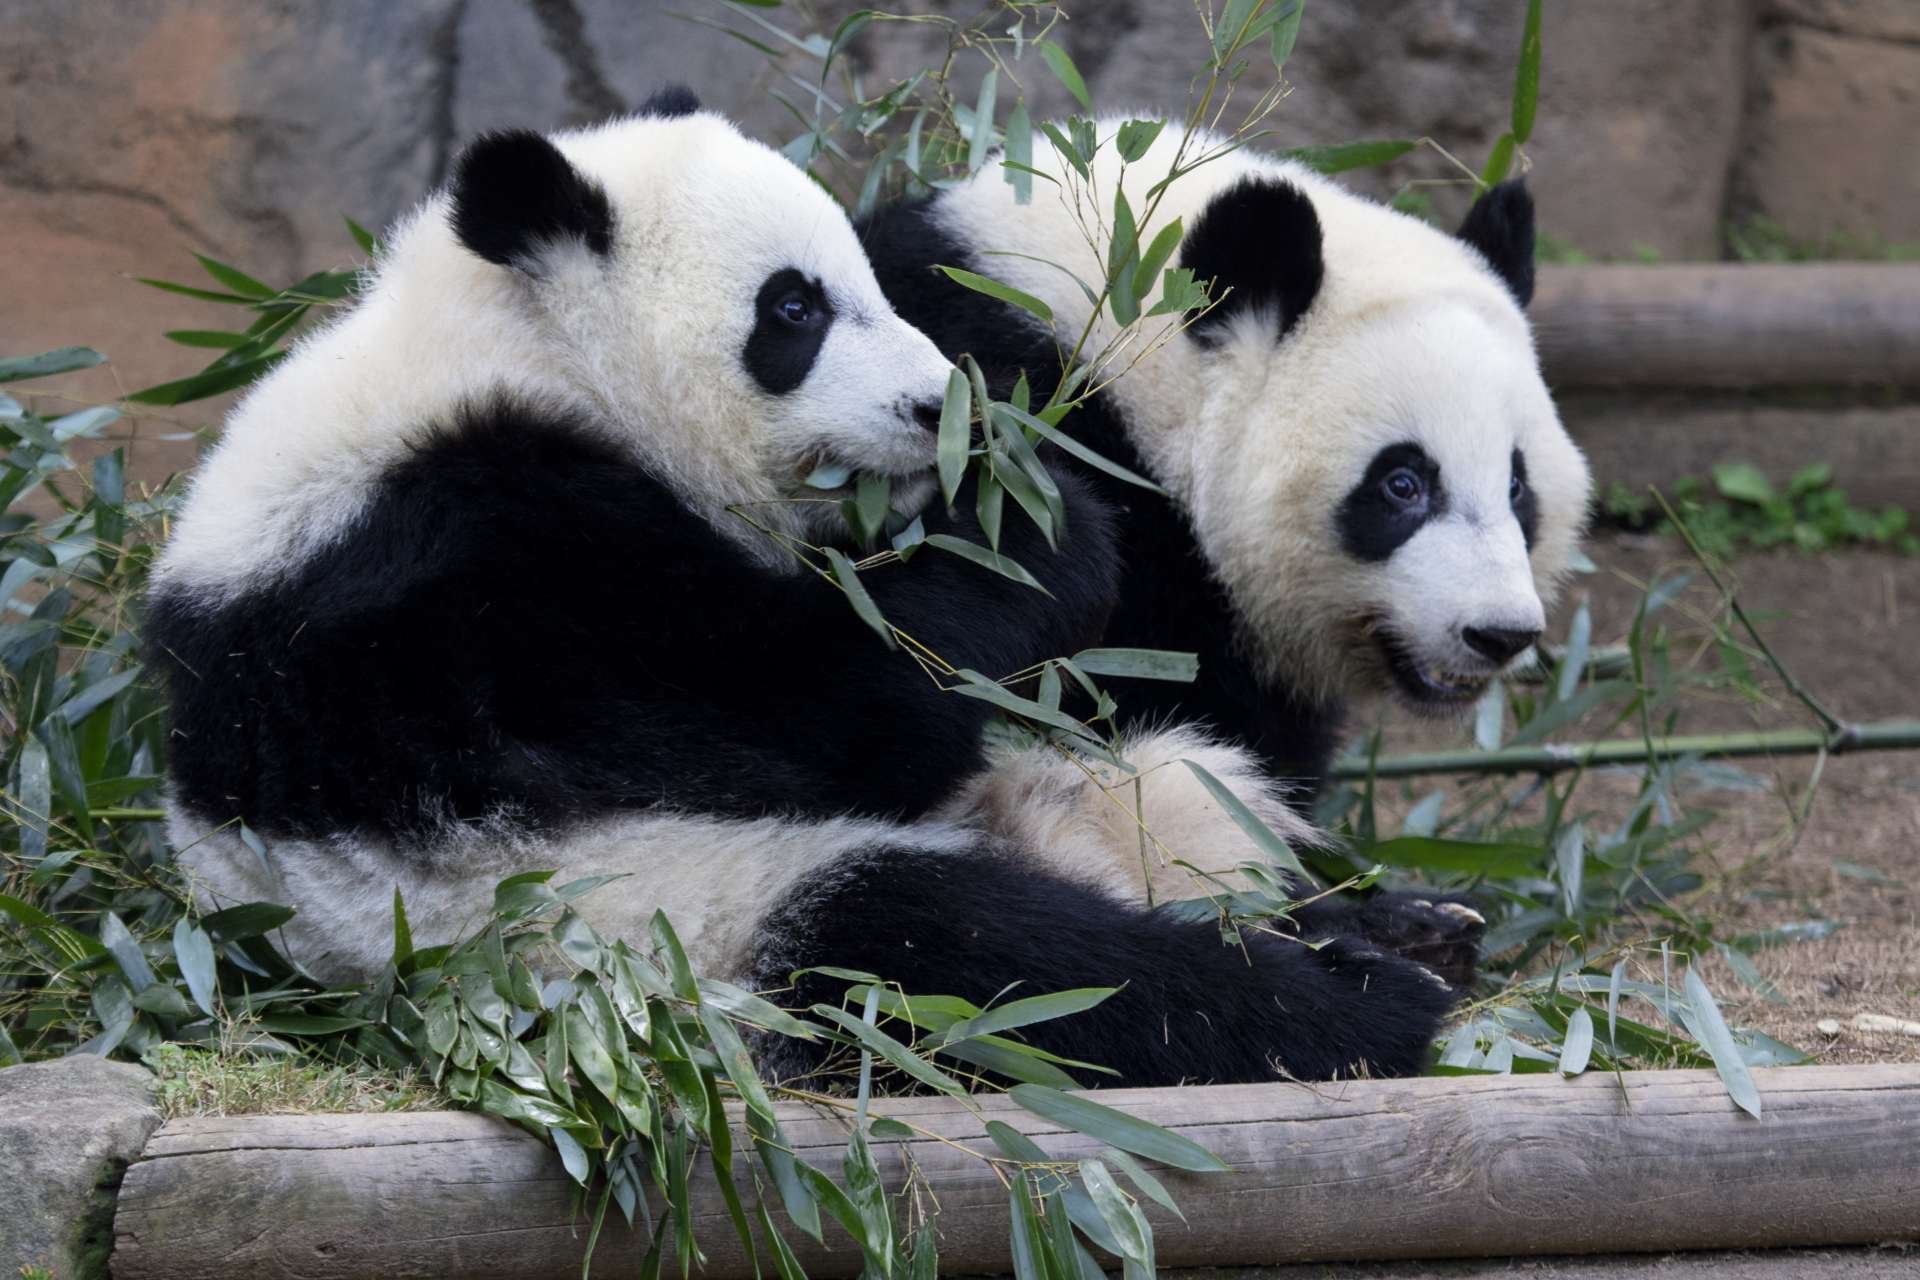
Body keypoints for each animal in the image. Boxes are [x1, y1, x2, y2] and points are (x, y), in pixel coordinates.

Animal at [149, 94, 1459, 1090]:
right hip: (668, 920)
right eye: (795, 308)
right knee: (991, 961)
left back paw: (1397, 923)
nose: (935, 406)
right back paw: (1361, 1001)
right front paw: (1034, 520)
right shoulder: (463, 574)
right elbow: (822, 713)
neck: (507, 351)